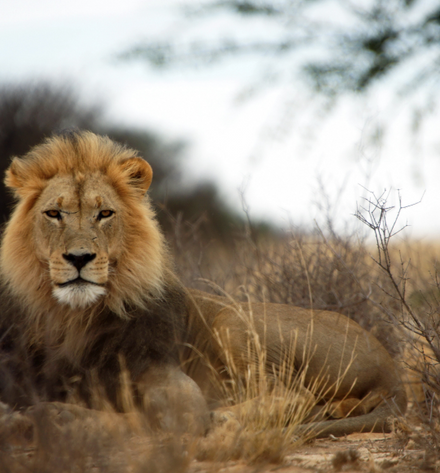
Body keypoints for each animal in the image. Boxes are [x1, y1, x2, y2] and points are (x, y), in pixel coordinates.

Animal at [0, 130, 406, 438]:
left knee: (296, 395)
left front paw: (56, 417)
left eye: (105, 214)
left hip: (233, 322)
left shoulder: (173, 384)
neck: (77, 317)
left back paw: (228, 417)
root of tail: (391, 367)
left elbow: (157, 419)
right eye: (54, 213)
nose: (79, 257)